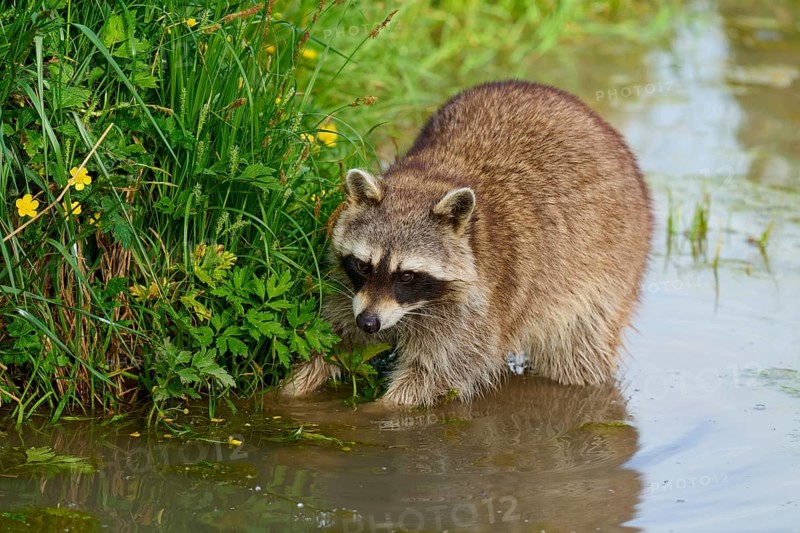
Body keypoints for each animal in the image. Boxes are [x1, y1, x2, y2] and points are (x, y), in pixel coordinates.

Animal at [282, 80, 652, 406]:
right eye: (363, 265)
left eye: (407, 275)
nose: (369, 323)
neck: (426, 180)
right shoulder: (348, 288)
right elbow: (332, 337)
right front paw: (291, 389)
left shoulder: (477, 306)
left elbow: (437, 374)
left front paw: (381, 411)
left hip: (606, 276)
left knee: (577, 355)